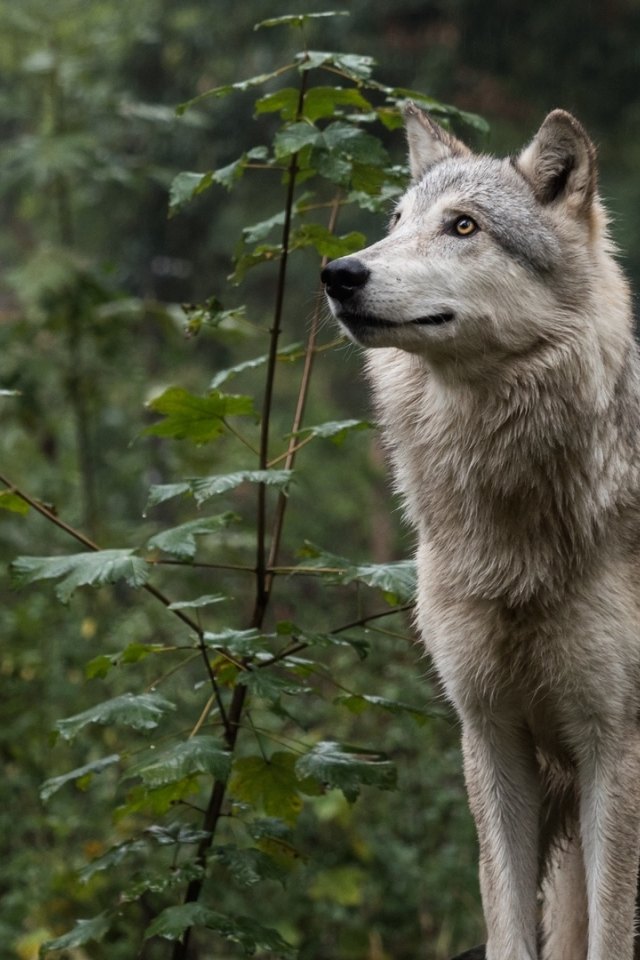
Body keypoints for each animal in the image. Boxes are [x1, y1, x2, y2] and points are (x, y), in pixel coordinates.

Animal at [322, 105, 640, 960]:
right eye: (396, 223)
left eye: (463, 226)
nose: (338, 274)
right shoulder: (491, 732)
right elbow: (508, 928)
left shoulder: (614, 744)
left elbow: (612, 937)